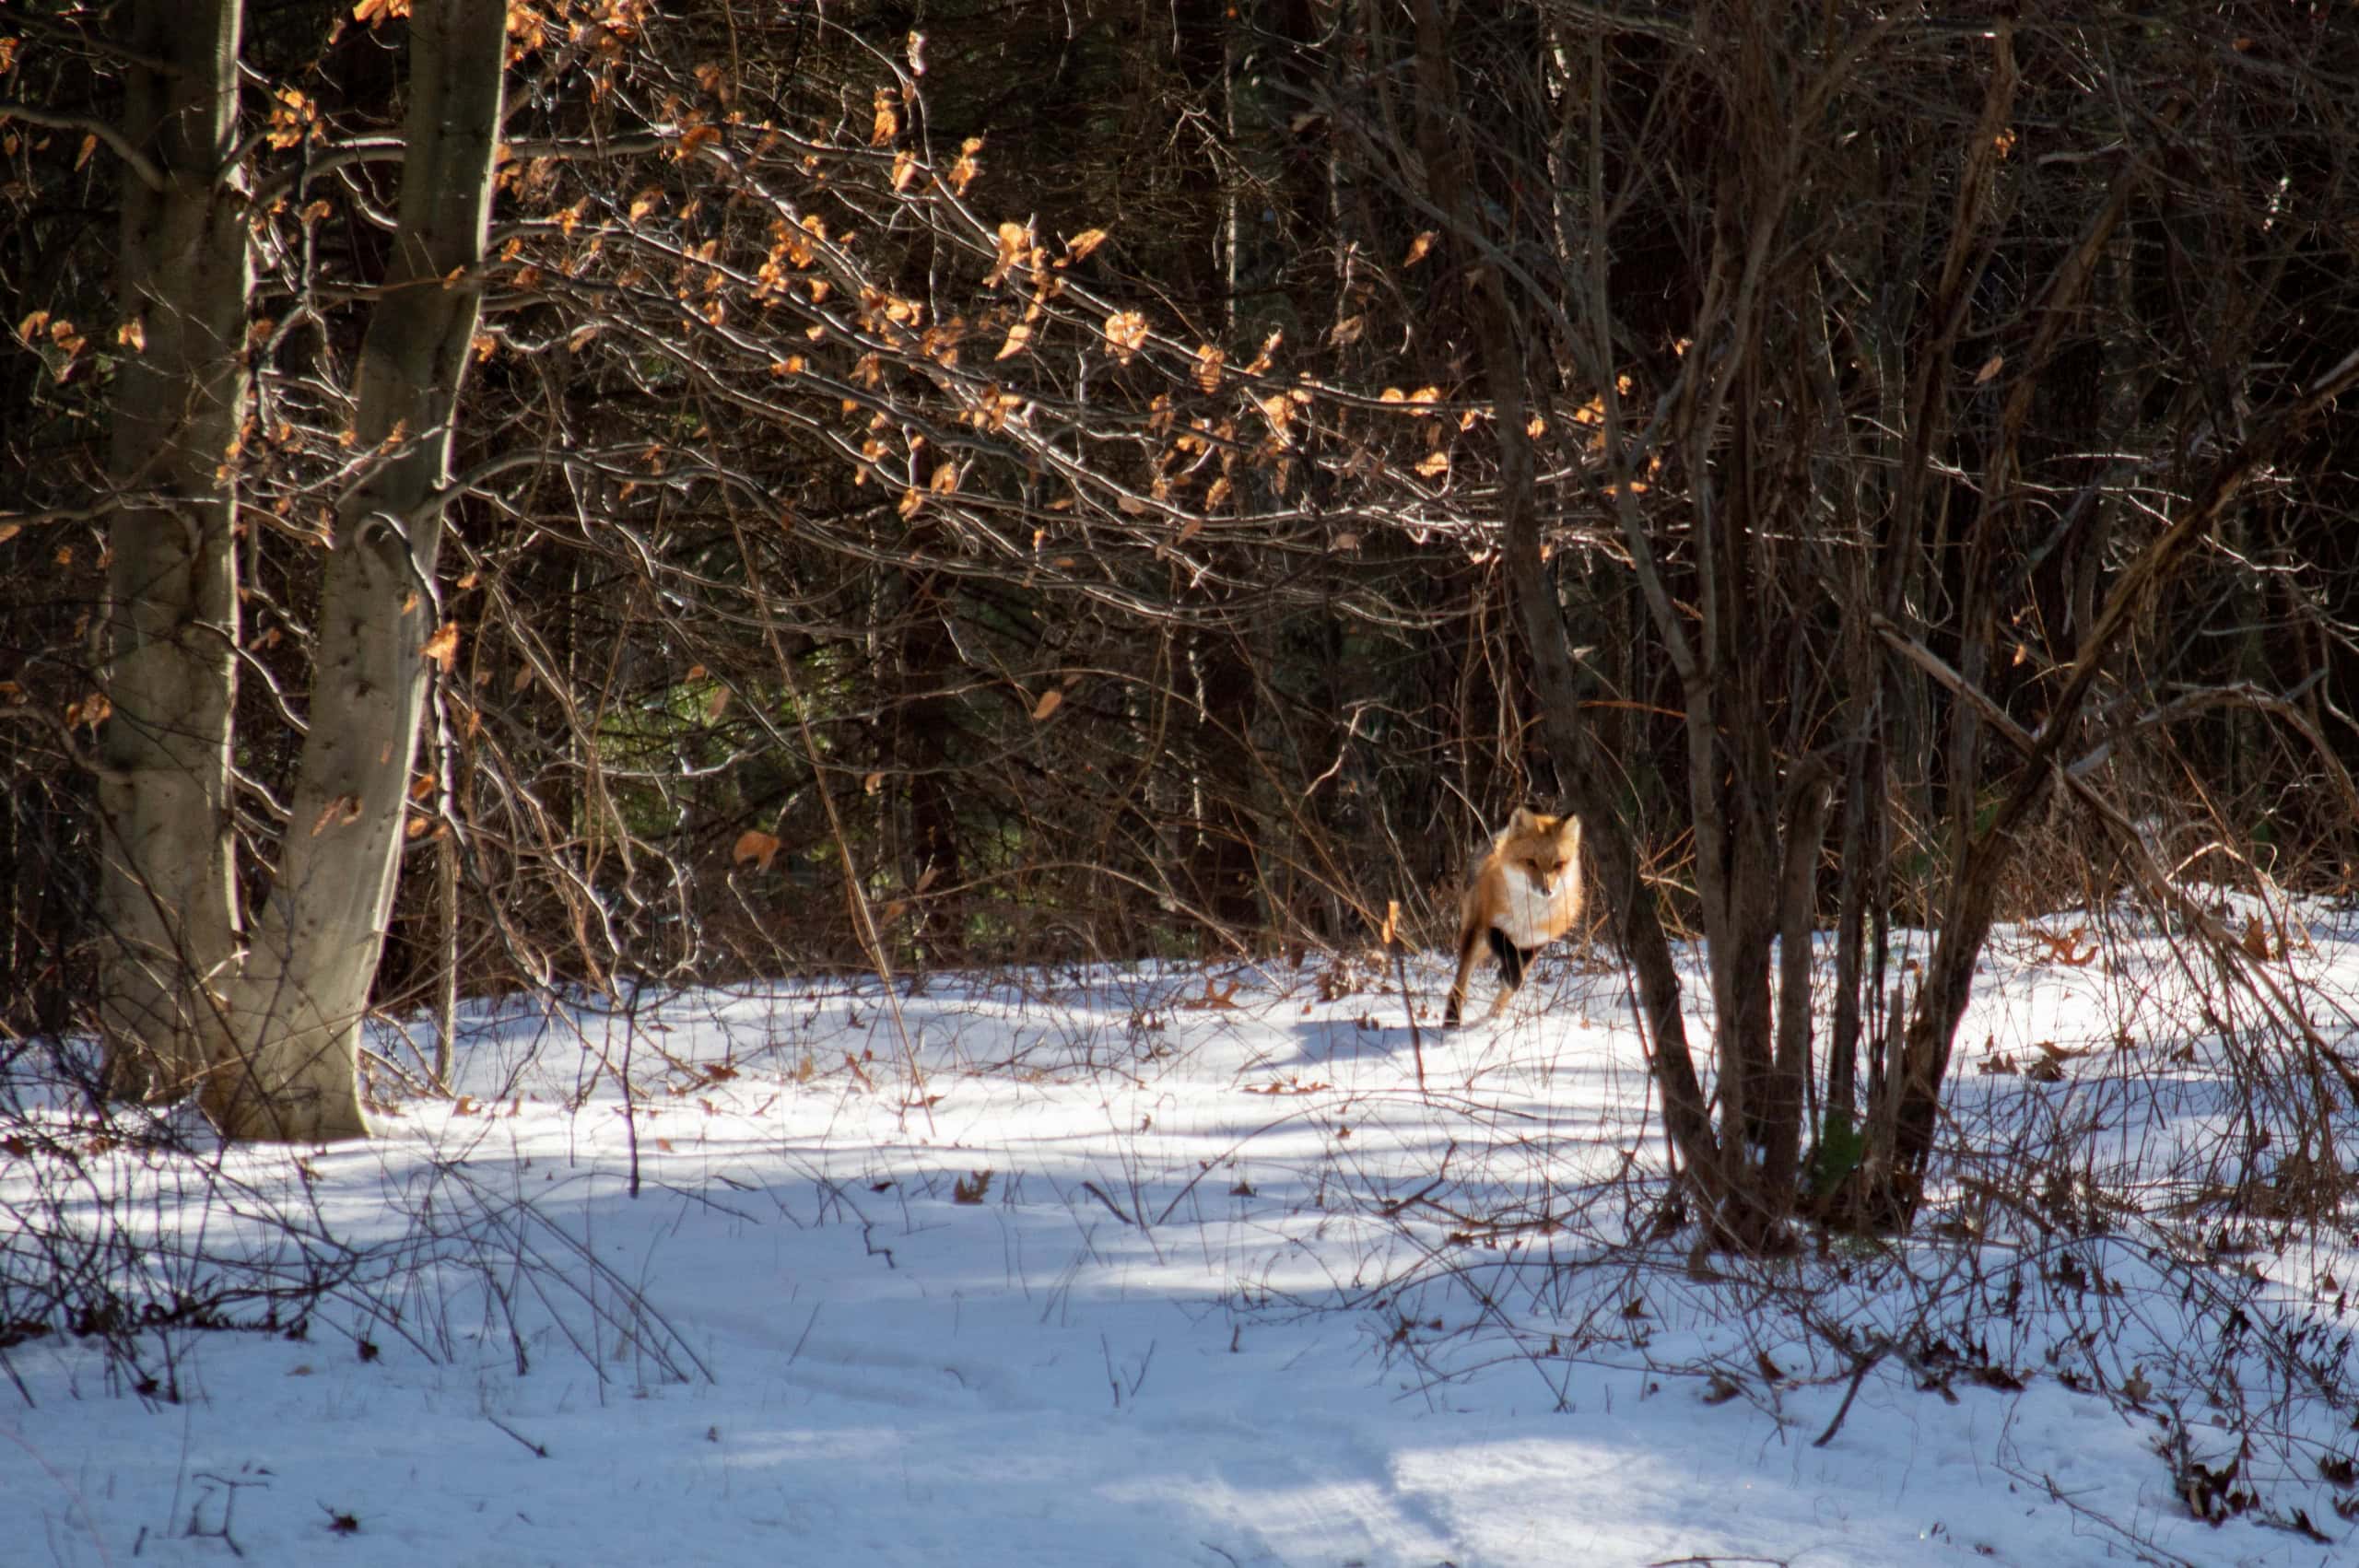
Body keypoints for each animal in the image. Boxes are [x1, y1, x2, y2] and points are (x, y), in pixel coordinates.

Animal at [1444, 806, 1584, 1027]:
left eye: (1558, 865)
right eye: (1531, 862)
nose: (1547, 890)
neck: (1528, 916)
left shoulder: (1538, 940)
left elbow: (1518, 967)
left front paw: (1509, 979)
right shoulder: (1490, 924)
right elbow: (1507, 953)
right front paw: (1509, 974)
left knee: (1504, 990)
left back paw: (1494, 1014)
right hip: (1473, 938)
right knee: (1460, 983)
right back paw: (1451, 1019)